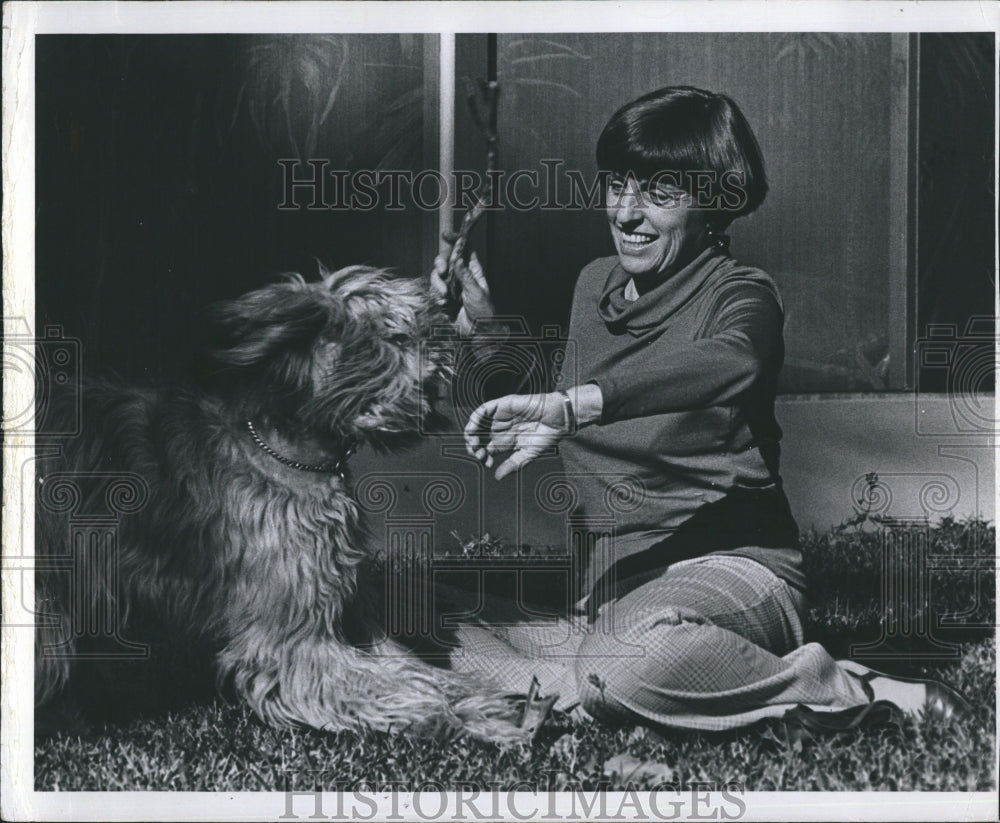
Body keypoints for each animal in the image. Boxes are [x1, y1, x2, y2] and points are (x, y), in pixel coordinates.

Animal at [35, 268, 528, 744]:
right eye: (394, 335)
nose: (450, 326)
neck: (287, 456)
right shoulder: (293, 642)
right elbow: (395, 687)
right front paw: (465, 719)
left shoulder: (348, 612)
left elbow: (415, 671)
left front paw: (482, 703)